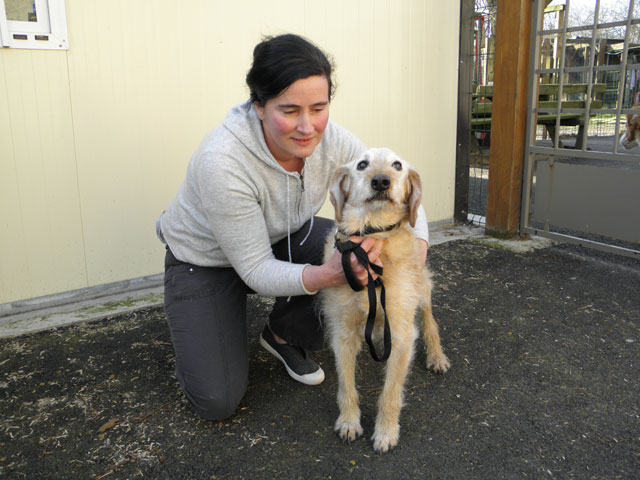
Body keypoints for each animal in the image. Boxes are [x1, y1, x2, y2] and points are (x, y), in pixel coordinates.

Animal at [320, 148, 450, 456]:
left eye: (397, 165)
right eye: (361, 164)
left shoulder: (401, 332)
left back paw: (437, 356)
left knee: (430, 322)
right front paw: (349, 421)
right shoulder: (343, 332)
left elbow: (390, 392)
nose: (381, 181)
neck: (375, 235)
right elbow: (347, 385)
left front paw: (386, 432)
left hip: (422, 289)